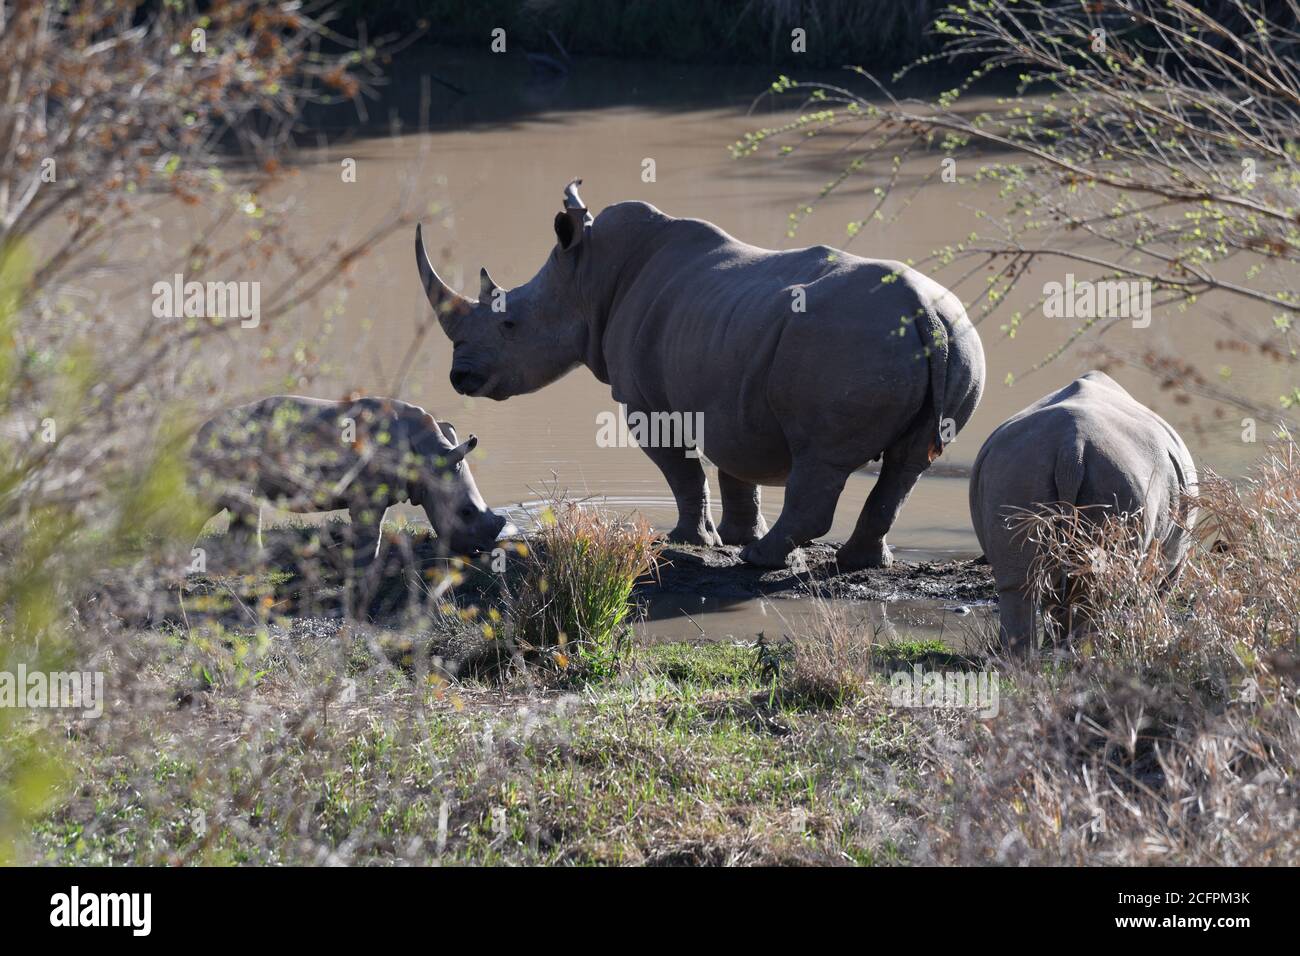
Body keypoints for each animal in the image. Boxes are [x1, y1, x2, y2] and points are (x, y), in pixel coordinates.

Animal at [189, 392, 504, 564]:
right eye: (466, 512)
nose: (478, 551)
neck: (430, 456)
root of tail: (201, 432)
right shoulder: (369, 494)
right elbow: (370, 530)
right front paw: (367, 562)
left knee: (240, 507)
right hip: (227, 446)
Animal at [410, 180, 977, 567]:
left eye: (509, 324)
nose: (460, 378)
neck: (585, 279)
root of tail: (923, 312)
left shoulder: (646, 401)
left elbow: (684, 470)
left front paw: (690, 541)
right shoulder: (731, 387)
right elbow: (734, 470)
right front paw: (737, 534)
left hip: (847, 344)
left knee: (823, 458)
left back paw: (762, 561)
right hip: (954, 339)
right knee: (906, 465)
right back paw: (854, 561)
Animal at [967, 369, 1196, 647]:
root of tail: (1071, 449)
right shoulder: (1171, 558)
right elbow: (1155, 594)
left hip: (1014, 467)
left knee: (1020, 583)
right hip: (1119, 478)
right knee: (1099, 588)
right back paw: (1086, 651)